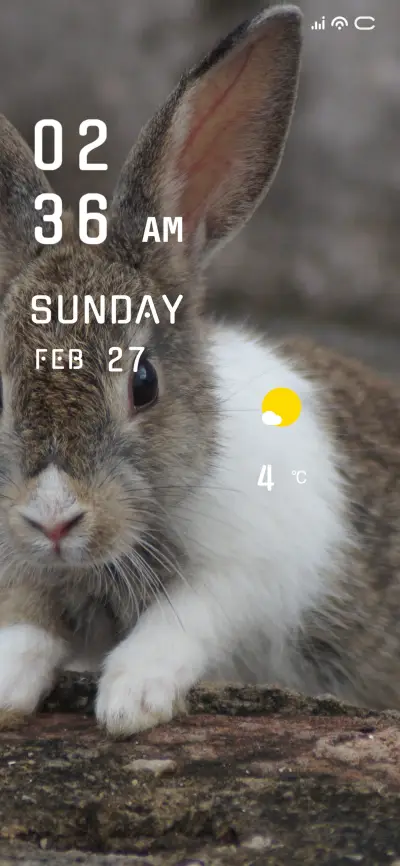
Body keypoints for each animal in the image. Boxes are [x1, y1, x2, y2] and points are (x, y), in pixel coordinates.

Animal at [0, 3, 399, 738]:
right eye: (2, 387)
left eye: (143, 383)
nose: (54, 520)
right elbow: (27, 619)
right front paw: (8, 685)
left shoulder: (247, 573)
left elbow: (183, 619)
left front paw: (131, 700)